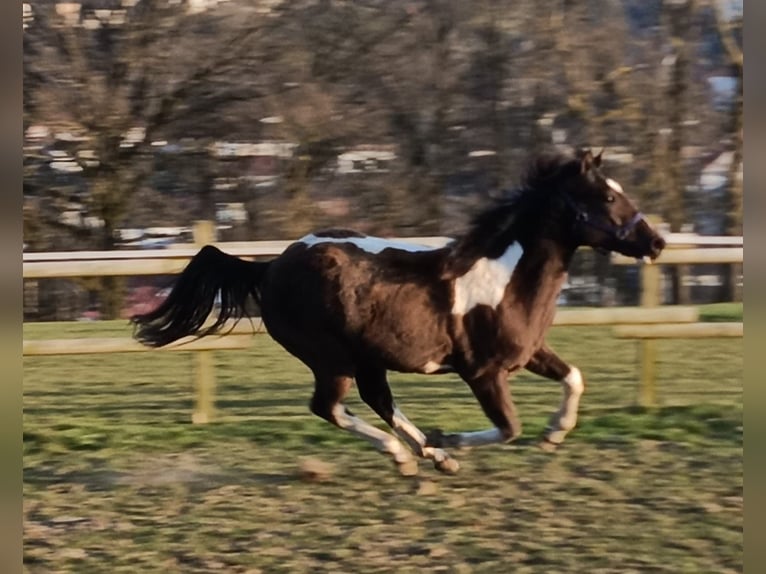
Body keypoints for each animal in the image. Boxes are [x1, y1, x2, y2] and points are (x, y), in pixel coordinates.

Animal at [132, 149, 666, 476]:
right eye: (609, 196)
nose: (656, 242)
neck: (505, 278)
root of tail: (269, 268)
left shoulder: (529, 353)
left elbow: (574, 377)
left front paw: (554, 435)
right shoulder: (483, 372)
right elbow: (509, 428)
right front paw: (453, 438)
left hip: (367, 360)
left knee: (376, 401)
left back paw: (429, 454)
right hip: (331, 360)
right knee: (330, 407)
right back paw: (412, 455)